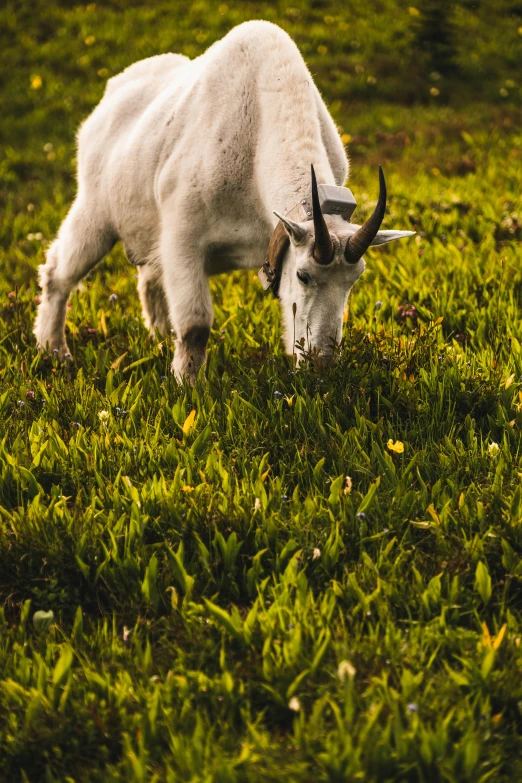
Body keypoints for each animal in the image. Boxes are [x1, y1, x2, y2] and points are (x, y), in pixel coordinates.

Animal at [34, 19, 412, 382]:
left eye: (354, 279)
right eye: (303, 276)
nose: (322, 363)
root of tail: (108, 96)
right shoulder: (184, 236)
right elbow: (195, 327)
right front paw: (189, 389)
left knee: (149, 279)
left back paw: (158, 340)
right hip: (95, 212)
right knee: (58, 273)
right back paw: (53, 350)